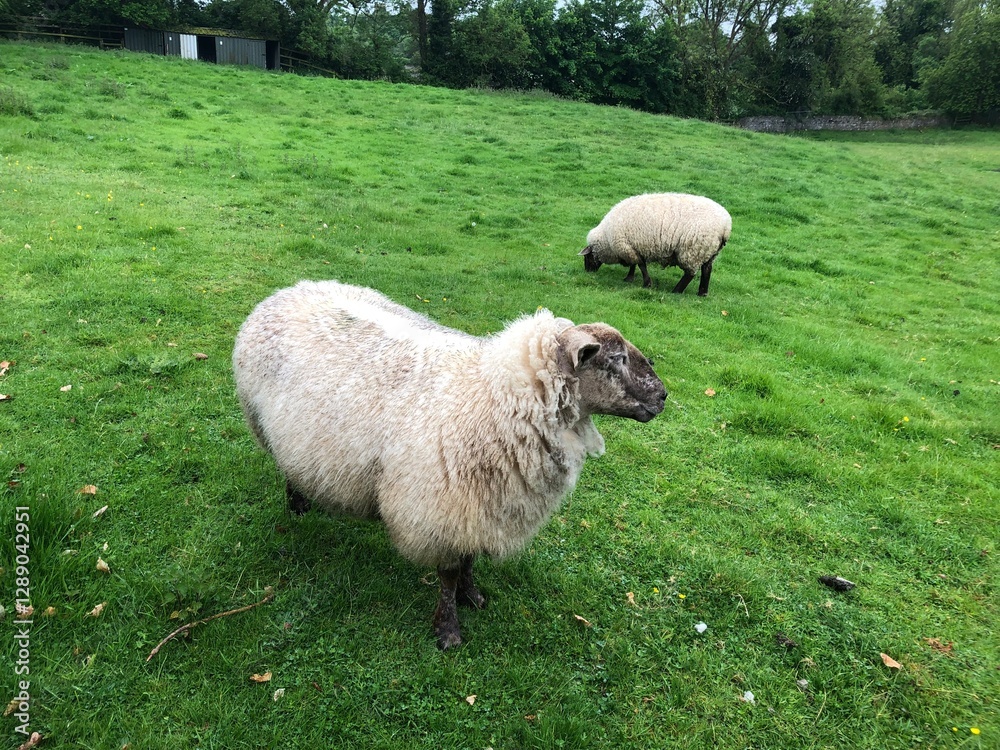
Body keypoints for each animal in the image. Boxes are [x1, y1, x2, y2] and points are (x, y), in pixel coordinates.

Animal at [232, 280, 667, 649]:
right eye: (616, 359)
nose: (663, 396)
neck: (494, 395)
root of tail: (290, 289)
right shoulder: (441, 507)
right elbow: (448, 573)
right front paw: (448, 629)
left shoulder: (481, 505)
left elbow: (469, 560)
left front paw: (472, 596)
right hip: (265, 427)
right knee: (287, 468)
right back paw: (297, 505)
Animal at [580, 193, 732, 296]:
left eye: (587, 257)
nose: (587, 272)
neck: (606, 238)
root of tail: (726, 225)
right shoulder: (632, 248)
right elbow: (635, 265)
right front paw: (629, 278)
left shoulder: (628, 248)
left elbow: (641, 265)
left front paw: (646, 283)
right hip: (708, 250)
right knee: (707, 269)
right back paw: (702, 293)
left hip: (692, 250)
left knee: (690, 273)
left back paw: (676, 291)